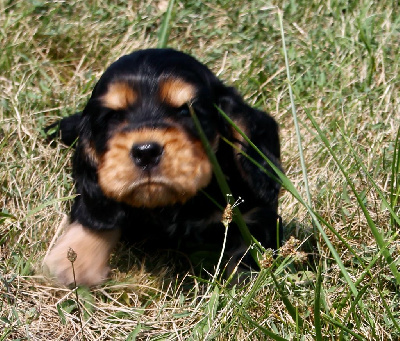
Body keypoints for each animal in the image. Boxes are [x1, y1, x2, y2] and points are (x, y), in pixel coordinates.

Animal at [43, 47, 282, 286]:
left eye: (186, 111)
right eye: (113, 116)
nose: (146, 151)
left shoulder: (256, 212)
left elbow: (249, 244)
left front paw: (244, 283)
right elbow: (97, 213)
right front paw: (77, 260)